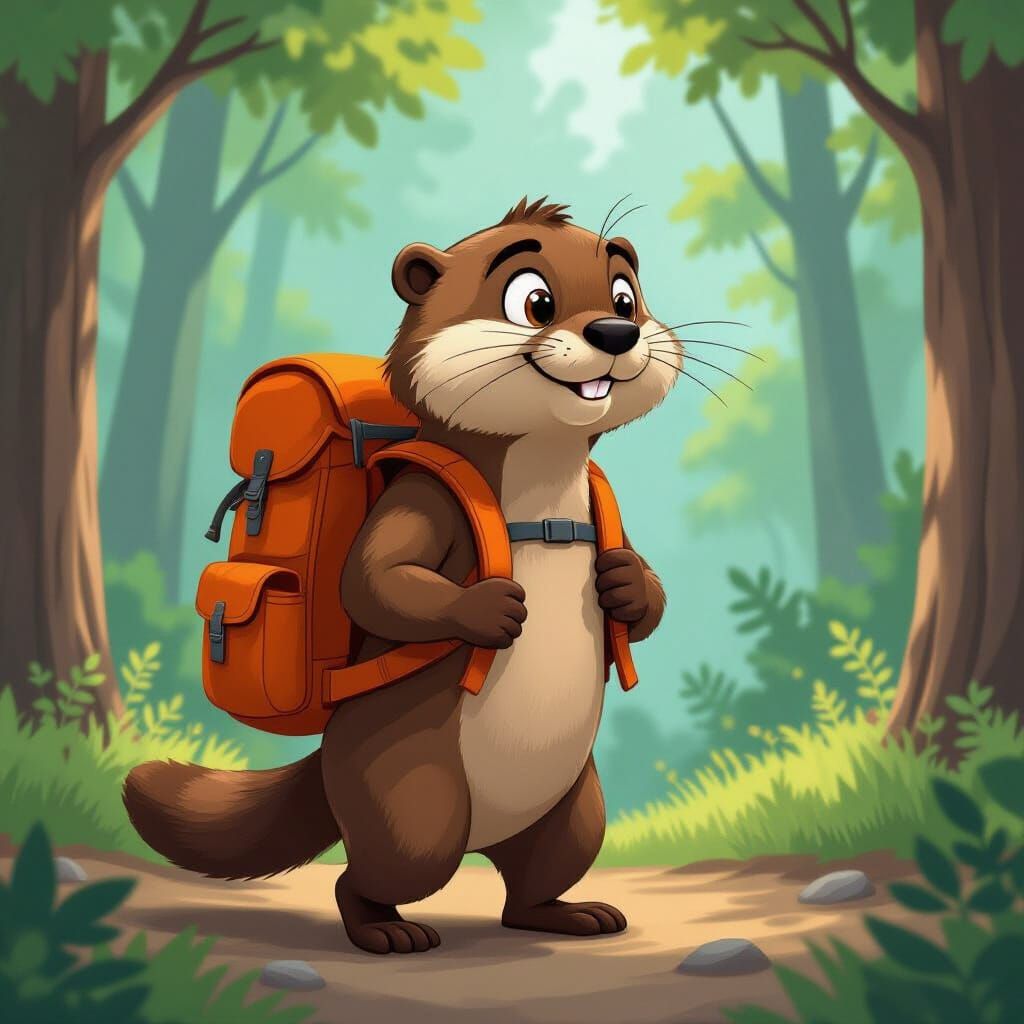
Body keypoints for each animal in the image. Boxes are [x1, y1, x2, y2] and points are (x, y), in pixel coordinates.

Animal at [124, 197, 682, 955]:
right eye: (533, 300)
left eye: (625, 294)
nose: (617, 330)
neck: (544, 504)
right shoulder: (422, 499)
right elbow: (373, 579)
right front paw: (491, 608)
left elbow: (644, 590)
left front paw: (626, 584)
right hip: (410, 799)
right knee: (373, 871)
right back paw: (384, 930)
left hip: (576, 809)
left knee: (533, 882)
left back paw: (570, 914)